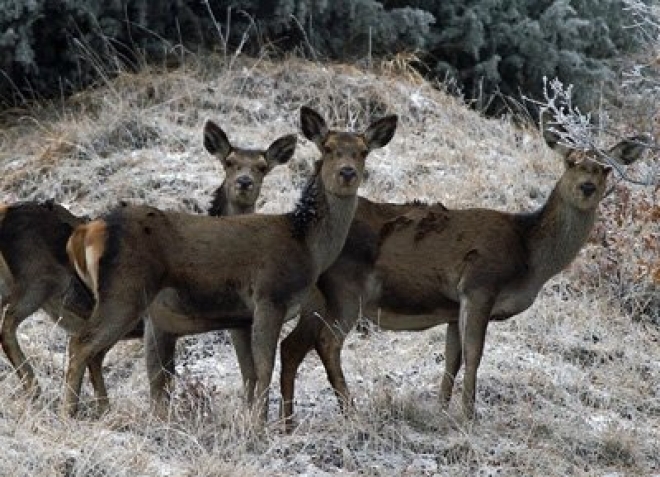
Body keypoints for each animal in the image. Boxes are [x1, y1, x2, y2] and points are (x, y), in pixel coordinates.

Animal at [0, 119, 294, 410]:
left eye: (262, 167)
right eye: (229, 162)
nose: (244, 182)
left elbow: (244, 375)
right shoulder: (164, 322)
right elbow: (161, 380)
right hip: (39, 280)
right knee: (17, 328)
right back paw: (41, 393)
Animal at [65, 105, 398, 420]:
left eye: (363, 151)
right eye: (327, 148)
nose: (347, 173)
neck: (306, 246)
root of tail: (85, 233)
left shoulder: (242, 317)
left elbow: (249, 371)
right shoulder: (269, 296)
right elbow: (264, 368)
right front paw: (259, 427)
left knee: (96, 352)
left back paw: (101, 410)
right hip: (125, 290)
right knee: (81, 343)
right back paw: (69, 412)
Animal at [276, 135, 648, 428]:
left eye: (606, 167)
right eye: (571, 161)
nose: (587, 187)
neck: (528, 257)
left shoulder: (453, 308)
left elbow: (451, 358)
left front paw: (441, 410)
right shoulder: (480, 285)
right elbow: (474, 353)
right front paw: (469, 414)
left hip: (317, 297)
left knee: (292, 346)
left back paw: (288, 421)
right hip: (347, 288)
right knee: (327, 342)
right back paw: (348, 411)